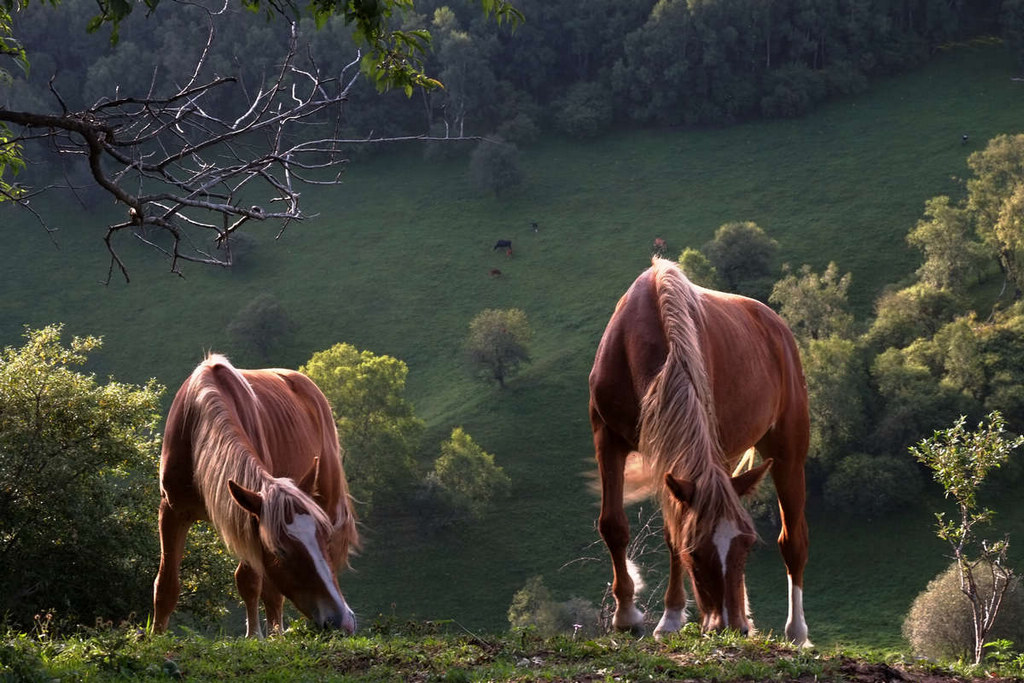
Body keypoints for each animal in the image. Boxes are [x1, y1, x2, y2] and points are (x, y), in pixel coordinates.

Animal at [151, 356, 360, 638]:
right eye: (281, 551)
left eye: (323, 539)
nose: (341, 621)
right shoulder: (173, 511)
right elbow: (166, 585)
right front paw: (156, 636)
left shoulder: (247, 514)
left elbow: (249, 581)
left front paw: (254, 637)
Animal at [589, 255, 811, 647]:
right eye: (695, 551)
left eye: (748, 545)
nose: (730, 626)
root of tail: (776, 325)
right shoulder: (608, 438)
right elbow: (614, 525)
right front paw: (628, 617)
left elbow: (668, 531)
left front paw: (669, 617)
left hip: (788, 450)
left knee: (793, 540)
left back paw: (796, 631)